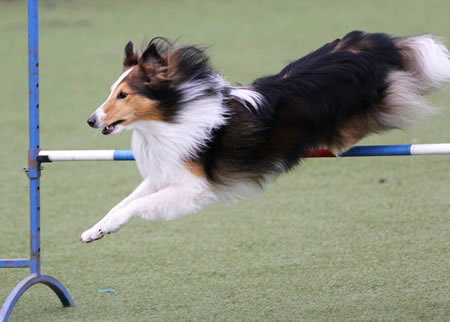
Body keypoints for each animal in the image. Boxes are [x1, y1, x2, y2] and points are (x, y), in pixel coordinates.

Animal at [81, 31, 450, 243]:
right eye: (112, 91)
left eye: (124, 95)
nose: (91, 120)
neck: (174, 115)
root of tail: (369, 42)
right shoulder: (165, 173)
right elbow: (121, 203)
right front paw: (96, 230)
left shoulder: (193, 187)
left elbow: (138, 205)